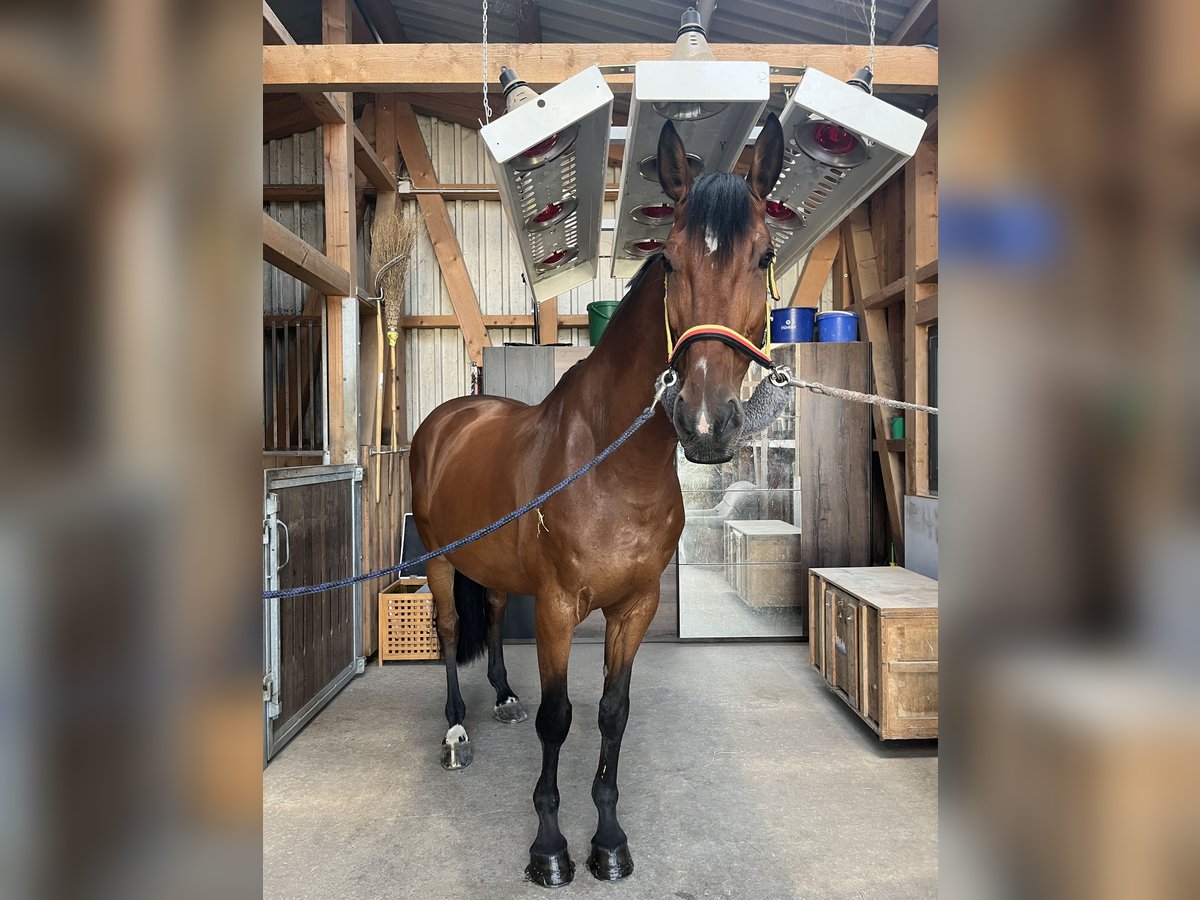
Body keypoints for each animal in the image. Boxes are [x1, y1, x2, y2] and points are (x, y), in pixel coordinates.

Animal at [412, 112, 787, 888]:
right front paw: (549, 848)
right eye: (669, 261)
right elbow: (560, 718)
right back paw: (457, 730)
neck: (614, 471)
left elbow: (613, 713)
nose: (706, 422)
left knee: (494, 613)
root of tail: (450, 416)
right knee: (449, 632)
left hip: (493, 567)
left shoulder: (634, 607)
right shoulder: (559, 609)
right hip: (436, 560)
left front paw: (609, 840)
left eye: (764, 256)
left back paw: (501, 698)